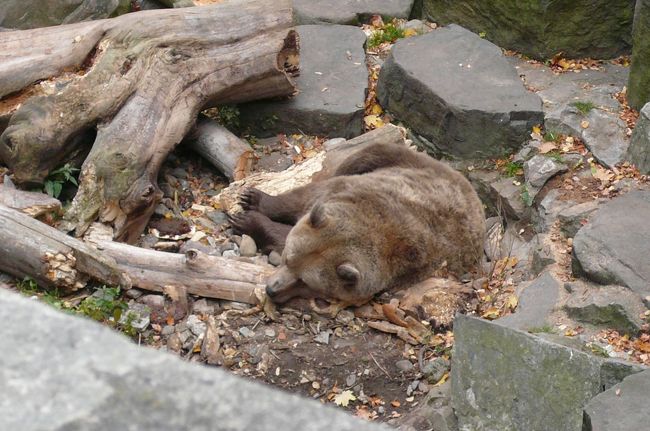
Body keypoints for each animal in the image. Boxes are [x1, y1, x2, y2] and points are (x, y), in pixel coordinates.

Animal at [229, 142, 486, 306]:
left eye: (305, 282)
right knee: (361, 156)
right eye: (288, 260)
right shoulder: (345, 190)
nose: (272, 289)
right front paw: (251, 199)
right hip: (404, 161)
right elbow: (301, 197)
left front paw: (249, 221)